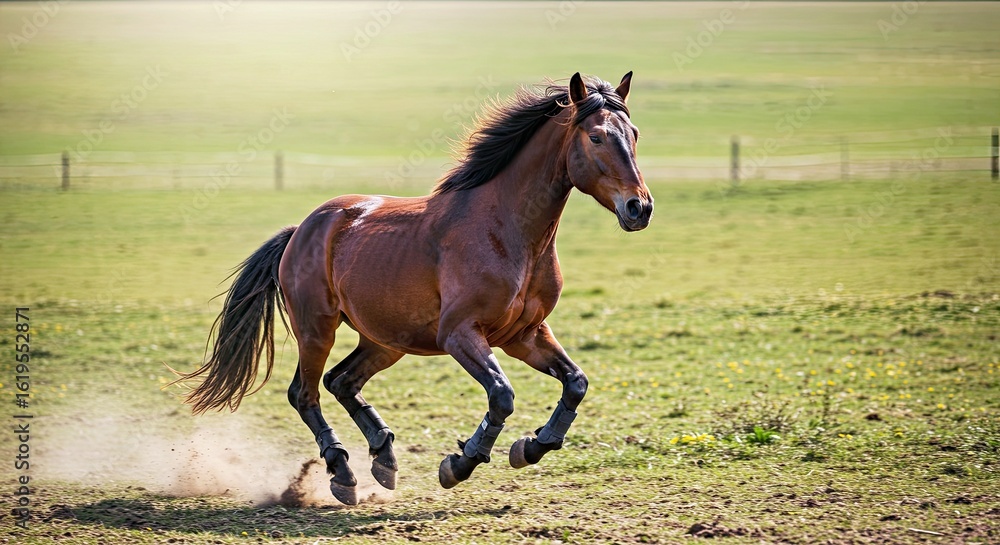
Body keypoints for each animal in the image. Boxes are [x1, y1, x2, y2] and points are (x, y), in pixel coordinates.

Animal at [174, 72, 653, 505]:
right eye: (596, 137)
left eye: (634, 134)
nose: (640, 208)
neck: (508, 230)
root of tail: (302, 229)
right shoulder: (460, 334)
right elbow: (501, 395)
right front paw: (460, 463)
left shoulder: (526, 334)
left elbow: (575, 383)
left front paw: (531, 446)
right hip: (318, 329)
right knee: (304, 393)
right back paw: (343, 473)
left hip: (387, 340)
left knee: (341, 381)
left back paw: (383, 458)